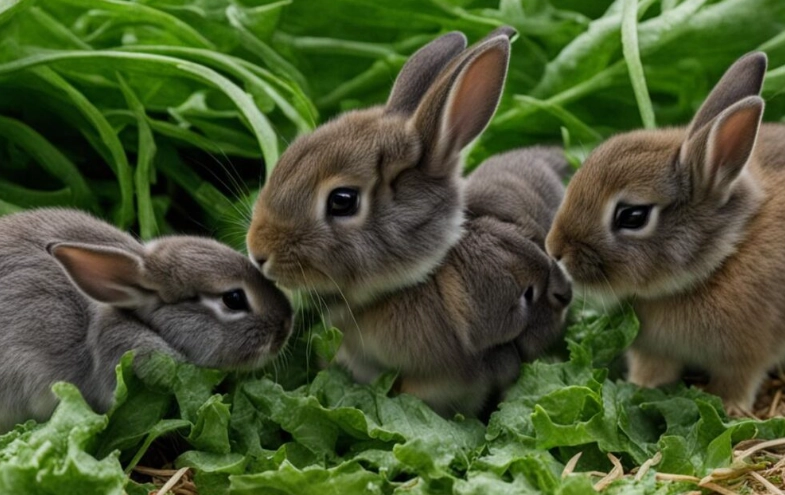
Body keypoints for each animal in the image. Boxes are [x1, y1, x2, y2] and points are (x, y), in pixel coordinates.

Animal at [545, 51, 785, 413]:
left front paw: (730, 409)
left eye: (632, 216)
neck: (723, 255)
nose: (554, 250)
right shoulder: (654, 351)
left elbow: (738, 382)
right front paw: (640, 387)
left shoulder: (747, 356)